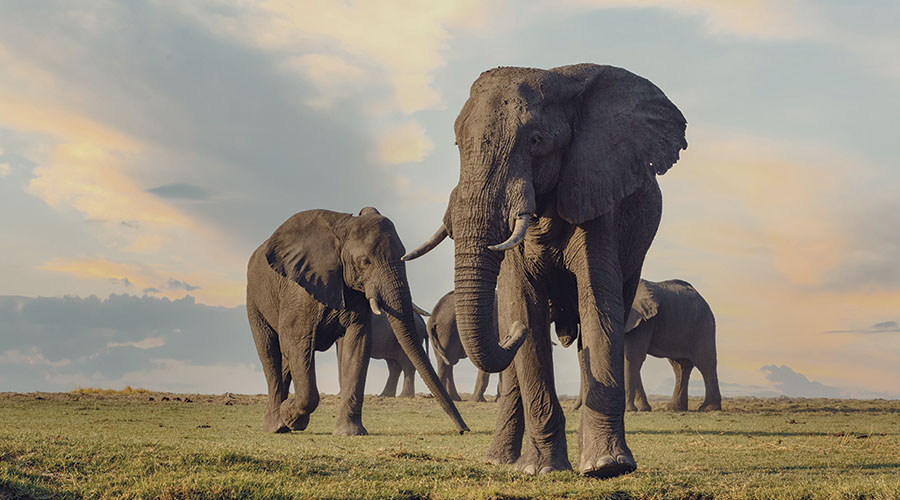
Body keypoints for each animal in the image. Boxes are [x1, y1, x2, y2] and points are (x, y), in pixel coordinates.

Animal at [246, 207, 468, 436]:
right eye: (365, 262)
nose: (463, 430)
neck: (343, 229)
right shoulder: (299, 291)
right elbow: (298, 341)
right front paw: (290, 416)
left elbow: (357, 343)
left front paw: (349, 432)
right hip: (254, 300)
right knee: (270, 353)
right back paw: (276, 425)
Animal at [404, 64, 687, 477]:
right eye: (457, 144)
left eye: (536, 141)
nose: (513, 330)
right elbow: (525, 310)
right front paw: (540, 469)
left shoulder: (596, 195)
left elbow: (599, 308)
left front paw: (607, 466)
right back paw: (500, 459)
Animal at [624, 279, 721, 412]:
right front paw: (643, 409)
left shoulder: (644, 322)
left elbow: (633, 358)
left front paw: (630, 410)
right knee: (680, 367)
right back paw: (674, 408)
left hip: (703, 325)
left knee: (705, 363)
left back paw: (708, 408)